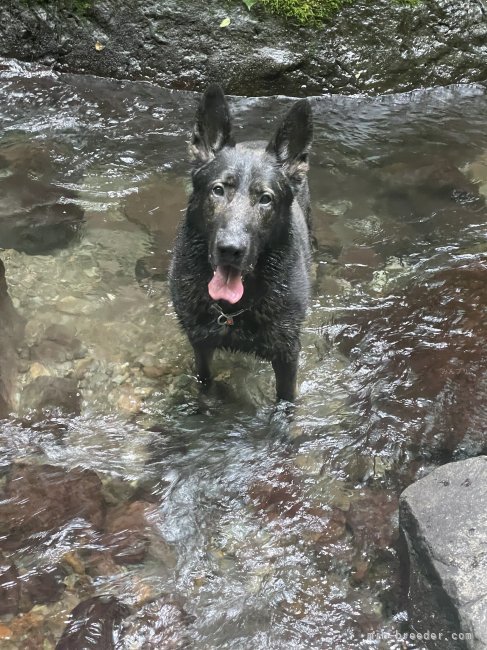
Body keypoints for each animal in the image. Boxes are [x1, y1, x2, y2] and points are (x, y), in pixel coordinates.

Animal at [170, 85, 312, 400]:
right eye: (218, 190)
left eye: (266, 198)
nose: (230, 250)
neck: (232, 311)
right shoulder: (201, 346)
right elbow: (205, 382)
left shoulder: (287, 355)